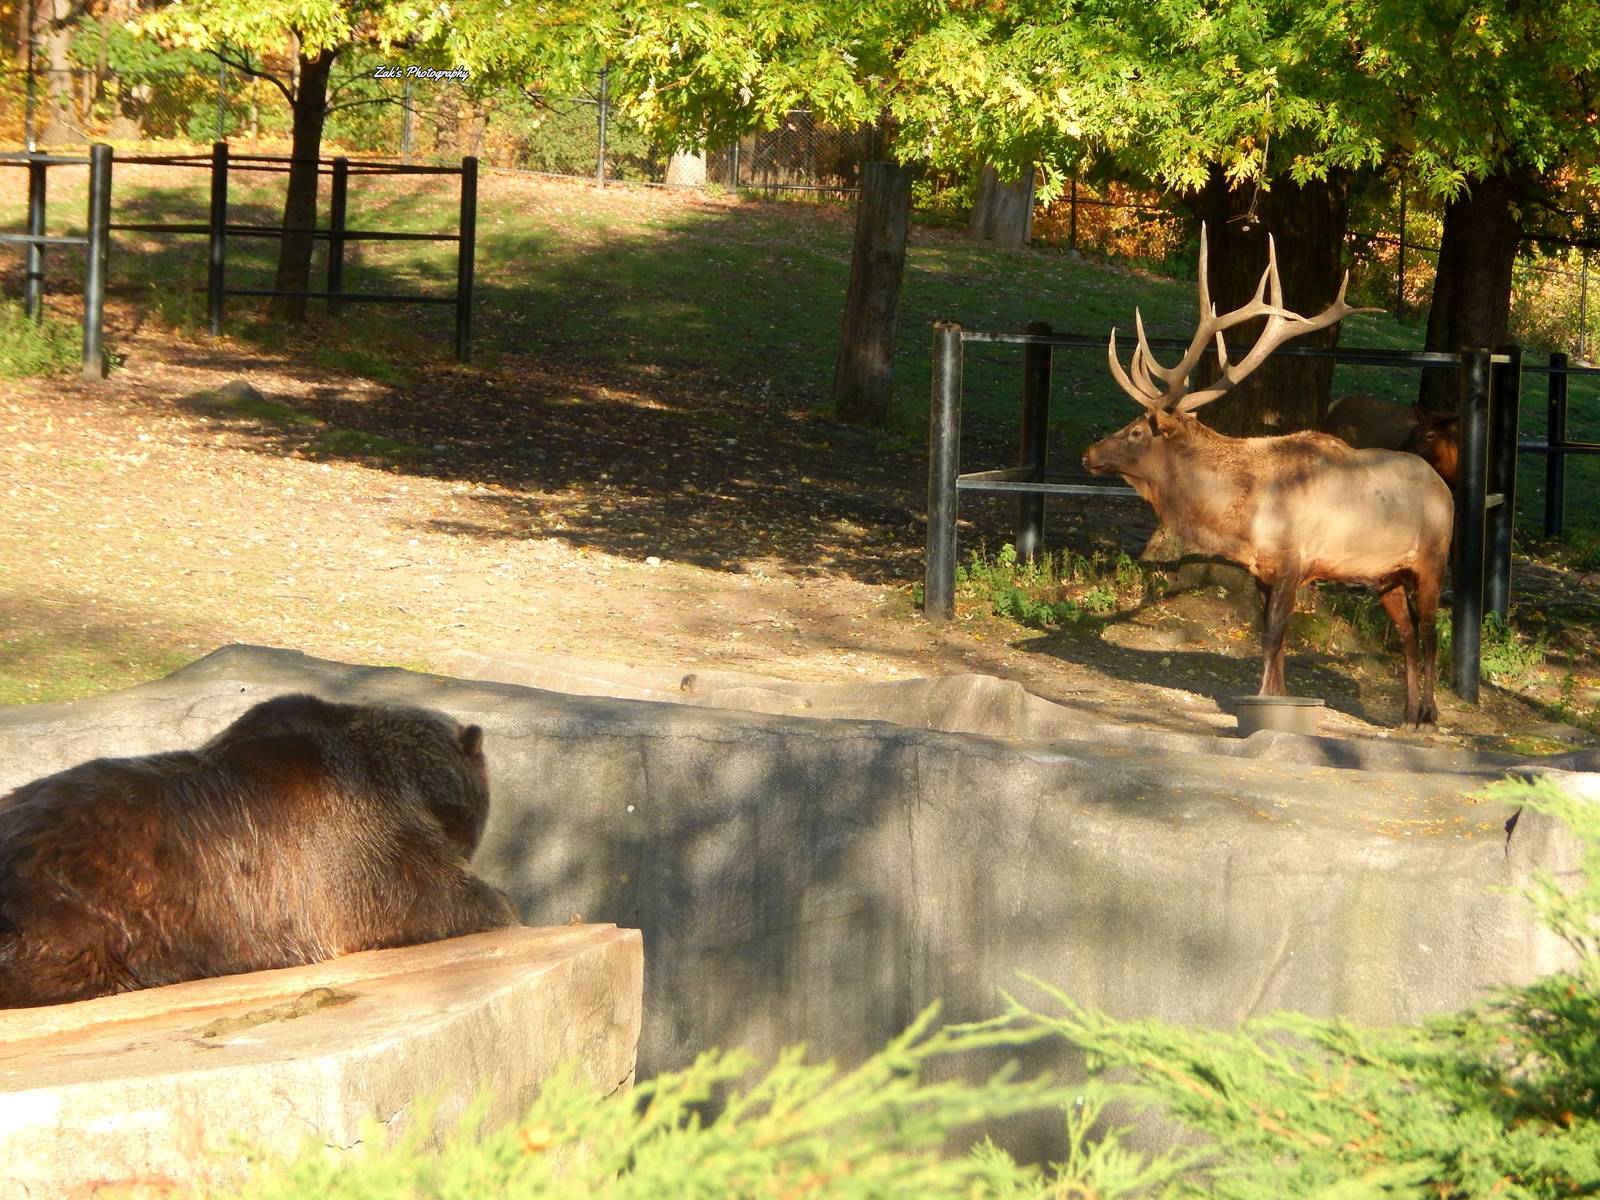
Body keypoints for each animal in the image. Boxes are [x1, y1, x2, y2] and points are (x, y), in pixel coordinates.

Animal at [1081, 226, 1455, 729]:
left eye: (1137, 430)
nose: (1089, 453)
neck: (1240, 517)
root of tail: (1445, 487)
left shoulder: (1294, 559)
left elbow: (1274, 635)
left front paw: (1264, 701)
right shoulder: (1263, 569)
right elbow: (1272, 640)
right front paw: (1276, 696)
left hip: (1433, 561)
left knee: (1432, 633)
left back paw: (1429, 714)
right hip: (1387, 577)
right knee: (1409, 635)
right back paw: (1407, 713)